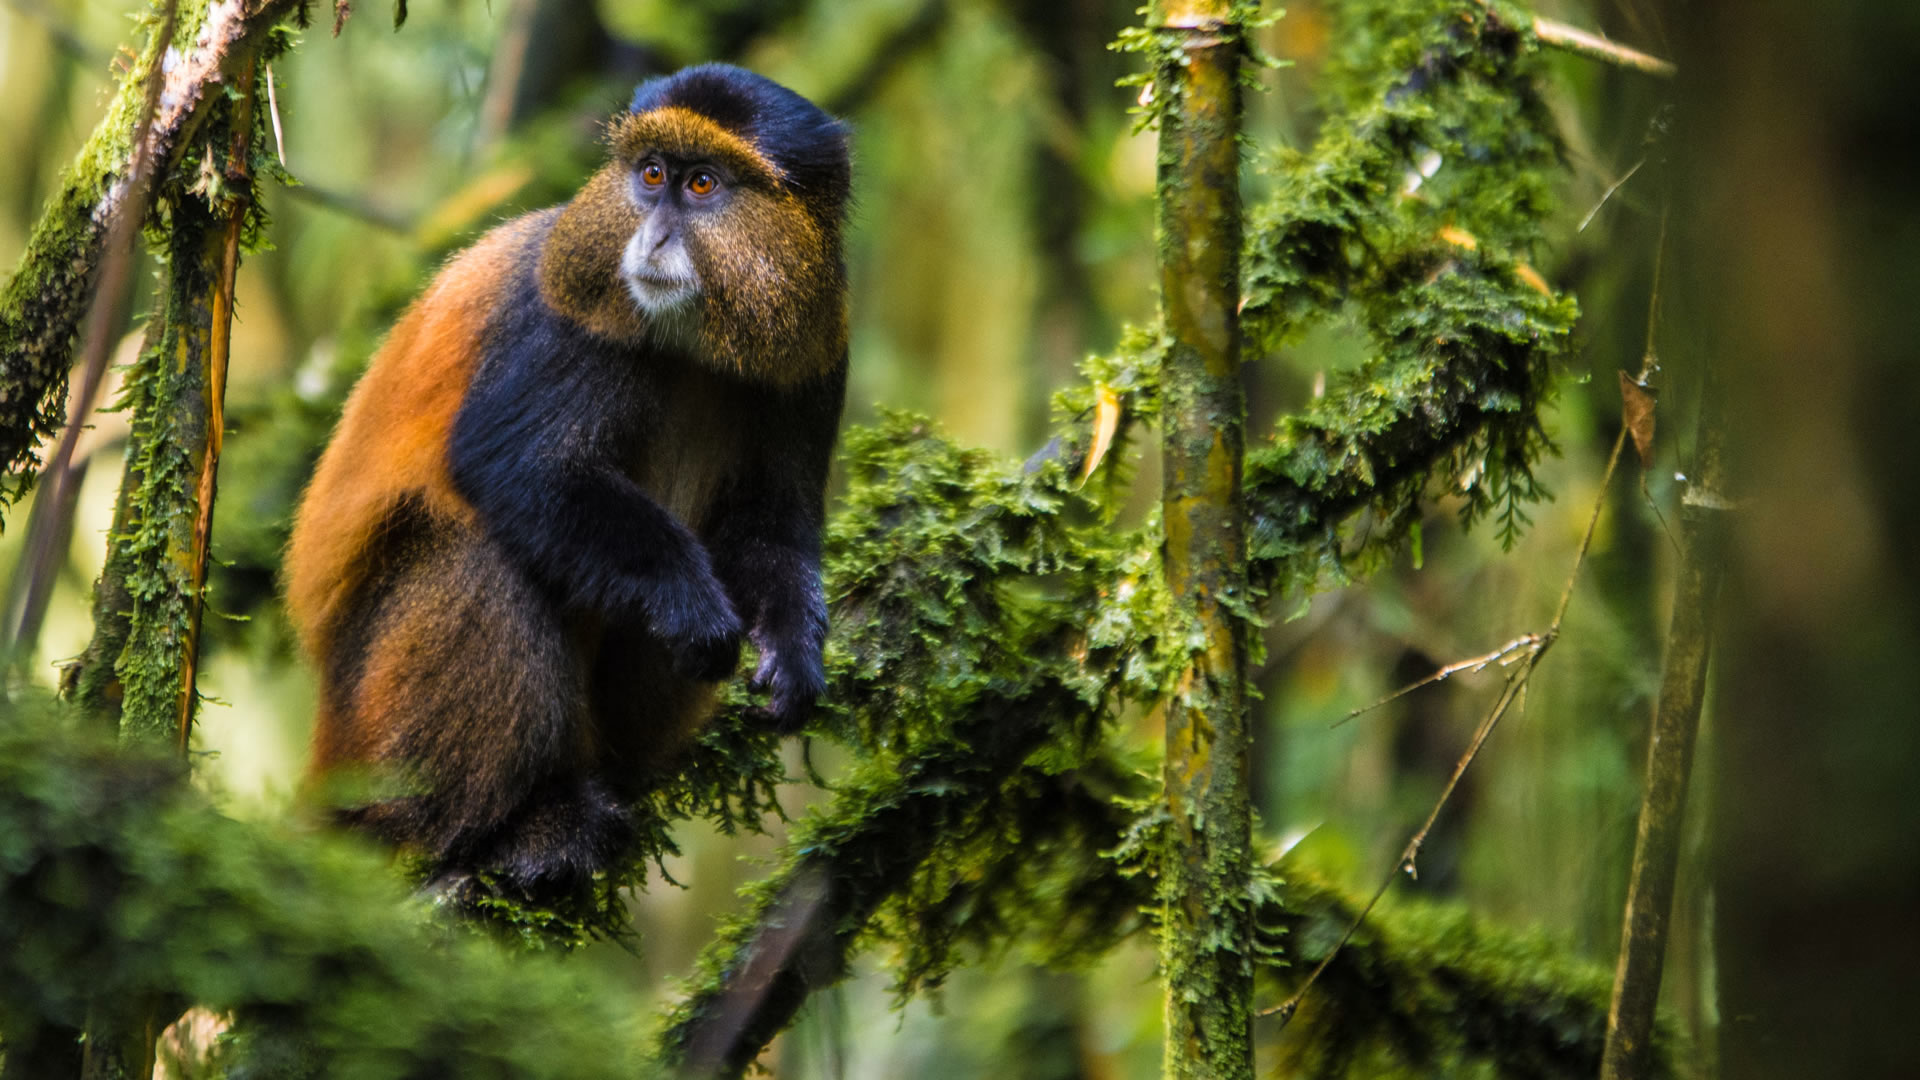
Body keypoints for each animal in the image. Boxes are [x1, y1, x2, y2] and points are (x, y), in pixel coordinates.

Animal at [283, 64, 850, 898]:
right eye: (651, 175)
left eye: (703, 184)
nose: (651, 237)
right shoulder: (571, 320)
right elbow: (519, 468)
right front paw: (689, 601)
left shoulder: (816, 353)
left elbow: (771, 524)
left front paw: (793, 649)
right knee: (480, 554)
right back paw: (512, 829)